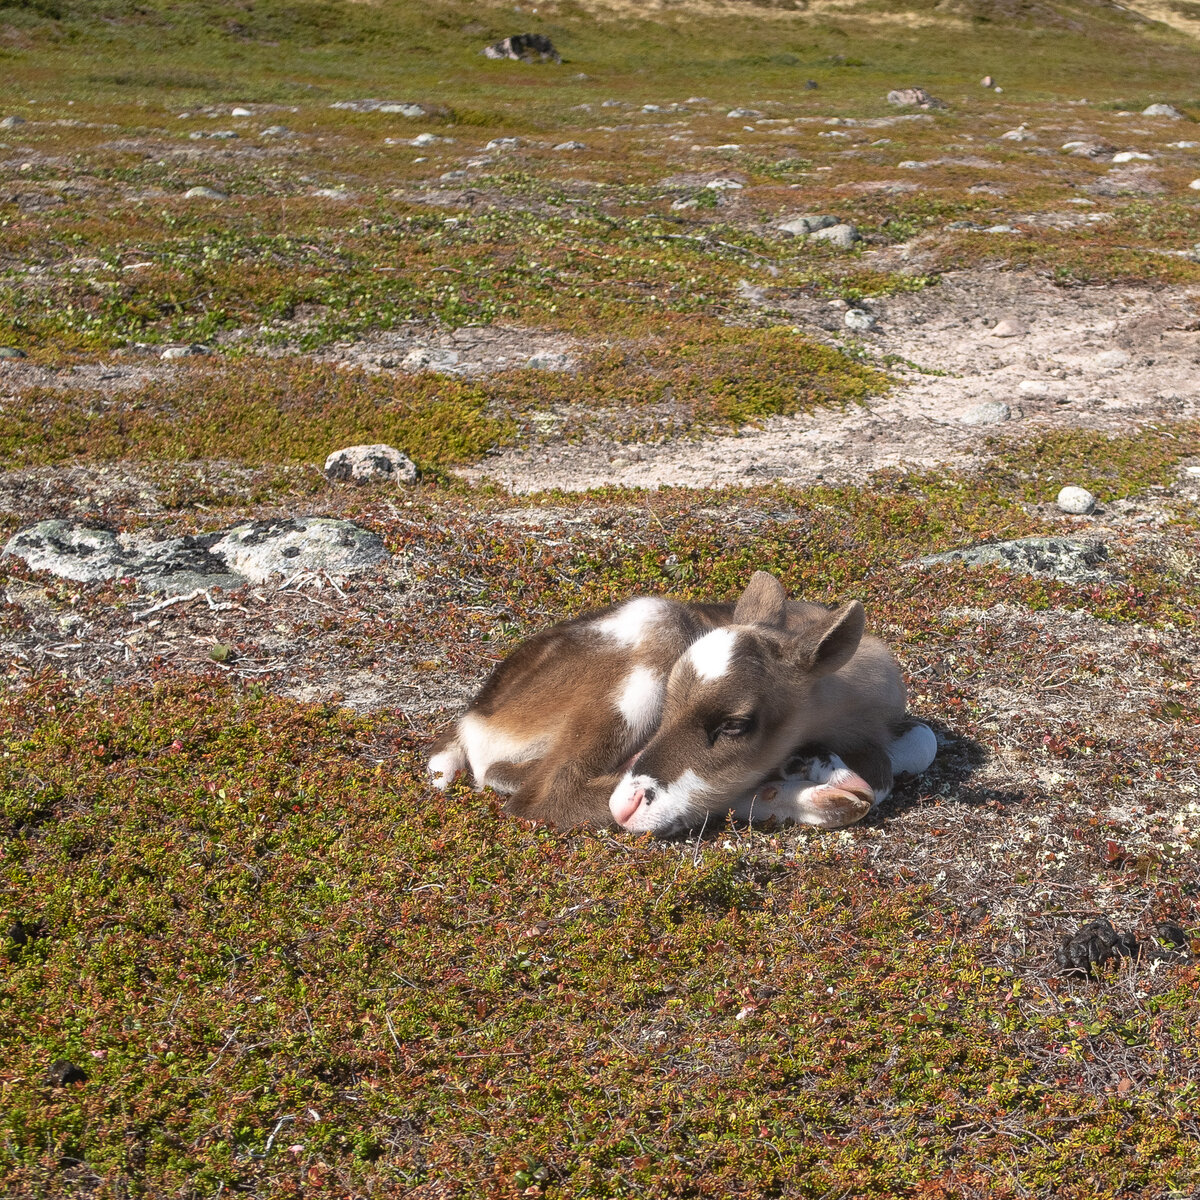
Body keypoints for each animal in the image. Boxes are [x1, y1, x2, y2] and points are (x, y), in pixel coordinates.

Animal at [424, 571, 936, 835]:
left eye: (735, 724)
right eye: (668, 705)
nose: (628, 802)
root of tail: (471, 718)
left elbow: (921, 743)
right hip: (655, 621)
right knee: (544, 794)